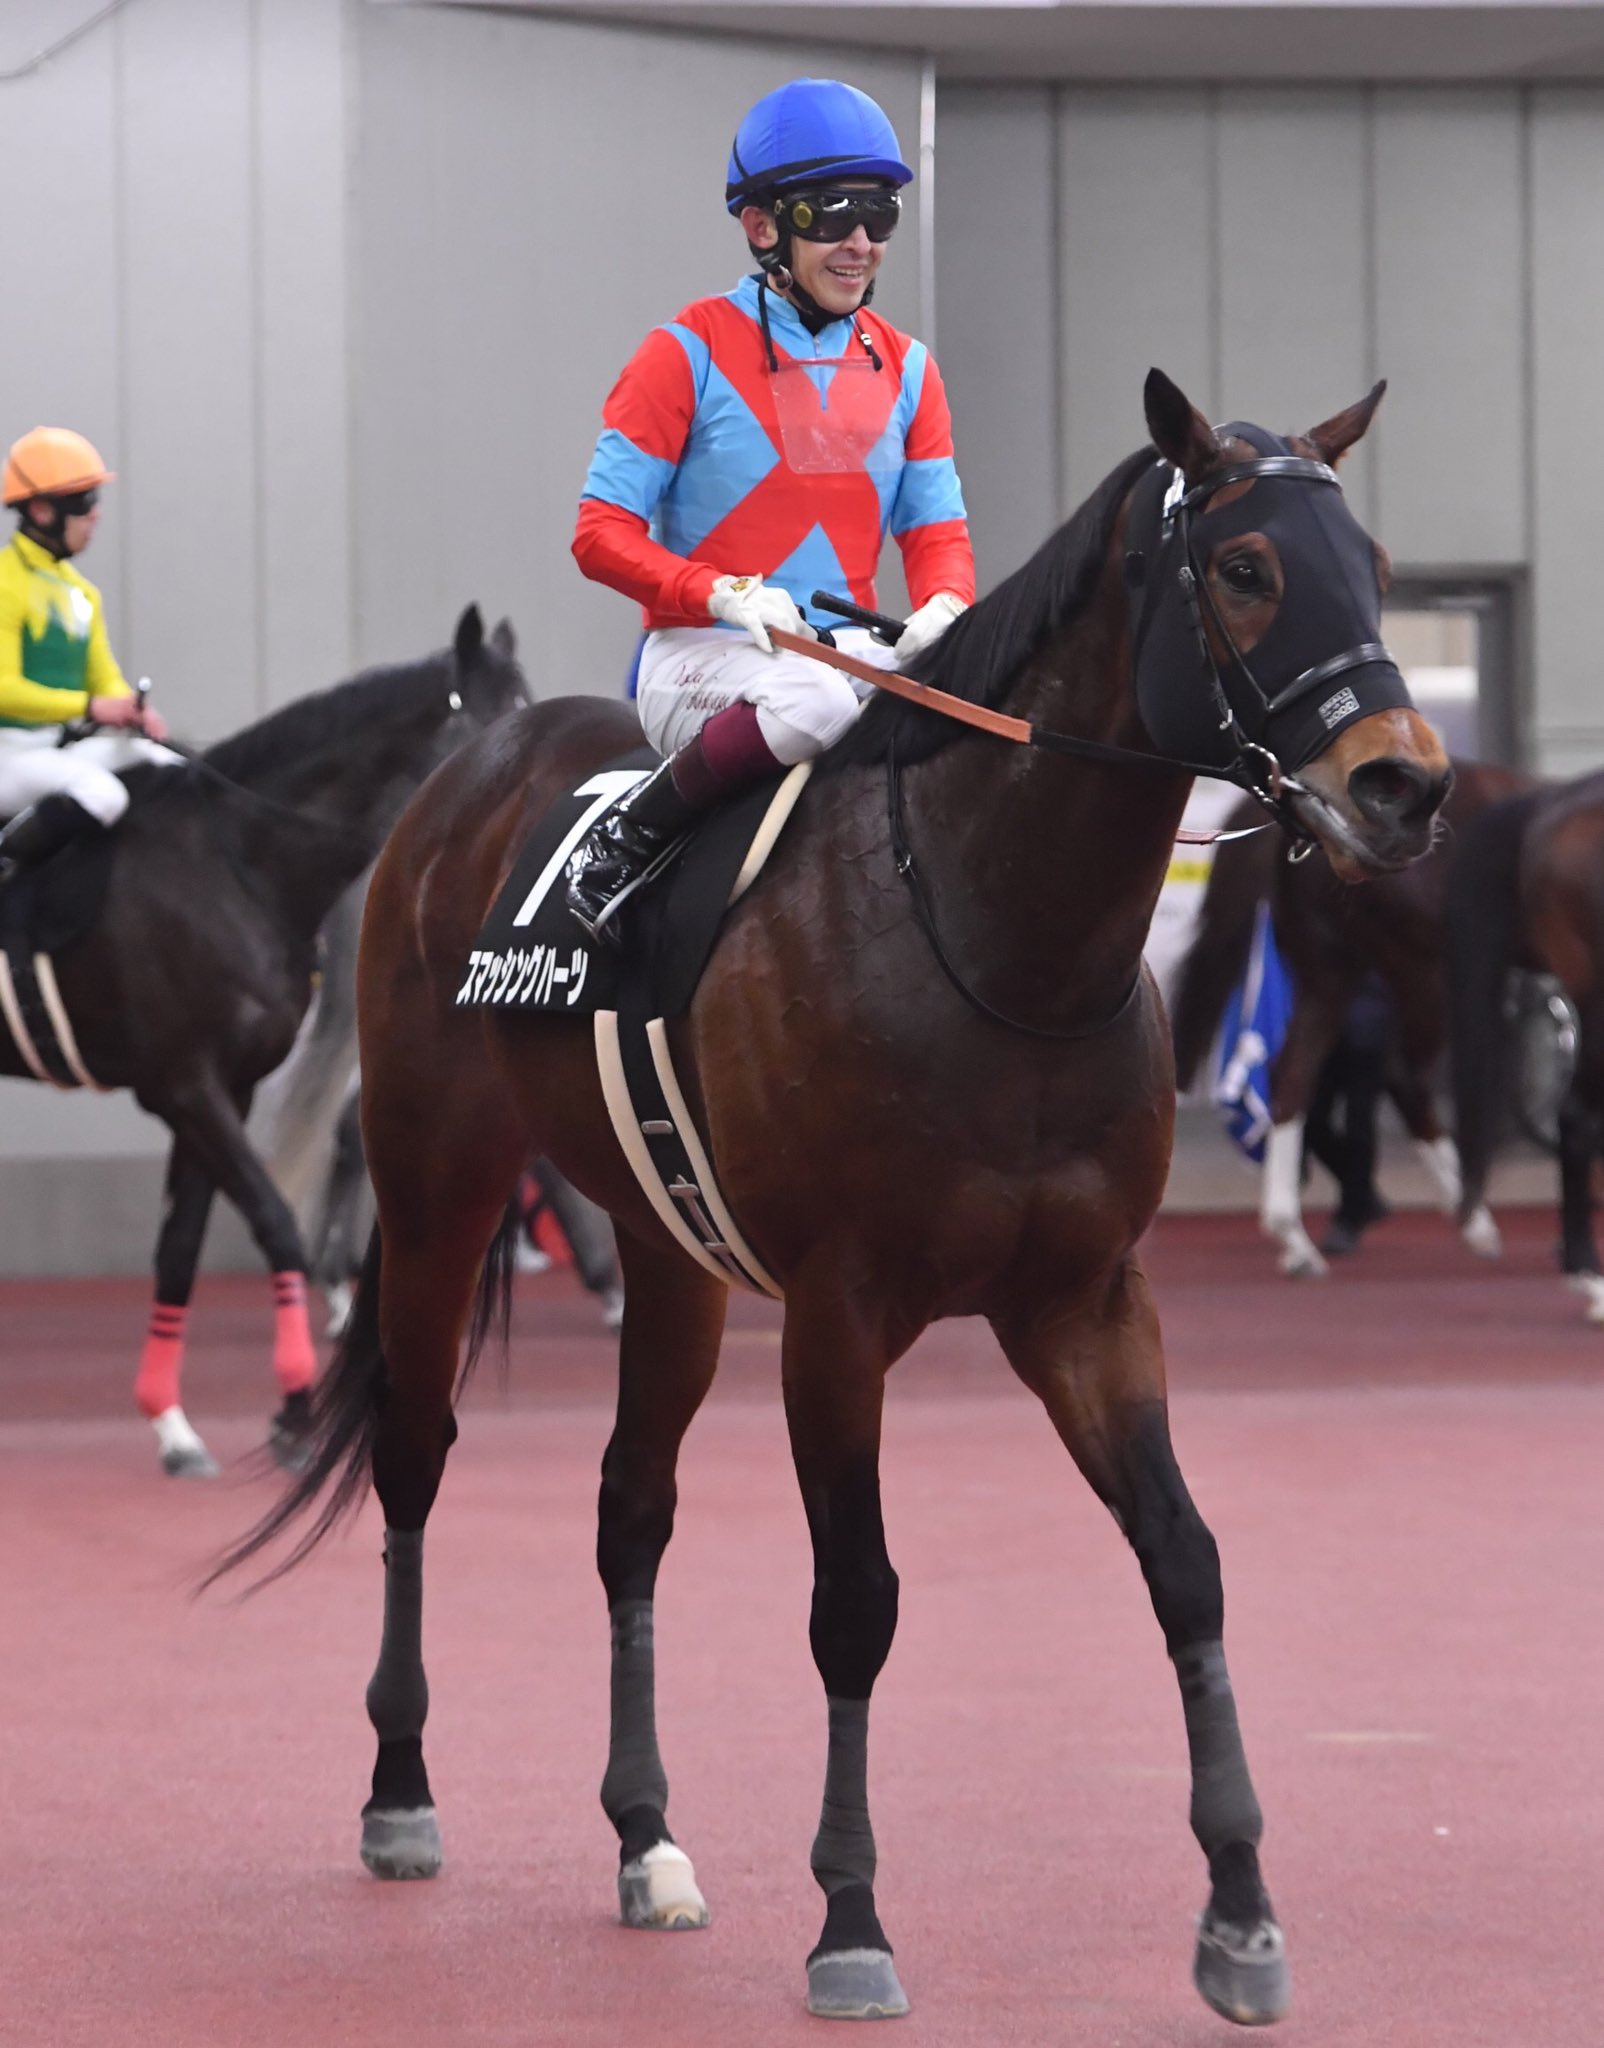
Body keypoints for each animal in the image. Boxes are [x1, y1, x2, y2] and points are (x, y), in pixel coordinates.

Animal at [0, 606, 527, 1476]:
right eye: (493, 722)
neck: (237, 864)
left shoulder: (224, 1090)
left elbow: (179, 1248)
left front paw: (174, 1426)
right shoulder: (185, 1085)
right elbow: (276, 1222)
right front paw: (293, 1408)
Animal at [215, 372, 1450, 2028]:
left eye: (1371, 566)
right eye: (1248, 569)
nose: (1405, 783)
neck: (996, 939)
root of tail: (469, 775)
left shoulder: (1087, 1300)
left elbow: (1185, 1564)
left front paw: (1243, 1915)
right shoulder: (839, 1316)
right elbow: (855, 1601)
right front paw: (852, 1924)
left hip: (670, 1253)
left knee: (630, 1510)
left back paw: (646, 1841)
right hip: (435, 1192)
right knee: (413, 1458)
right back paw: (400, 1792)